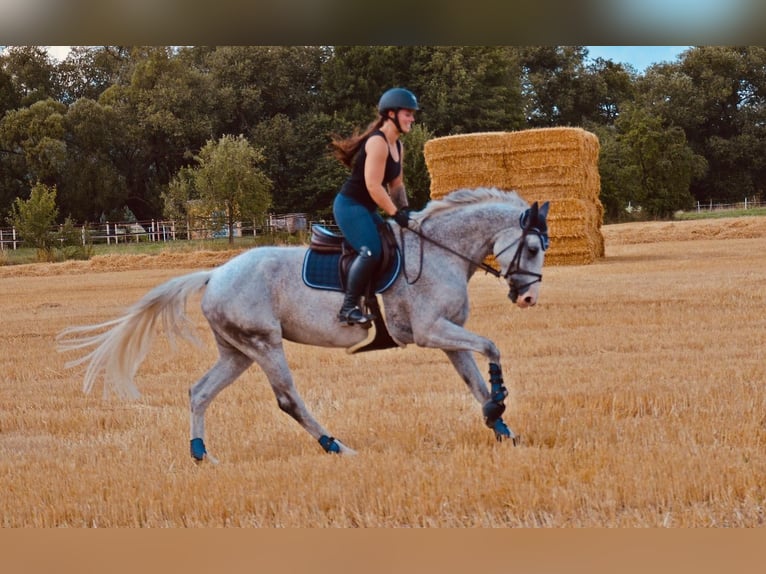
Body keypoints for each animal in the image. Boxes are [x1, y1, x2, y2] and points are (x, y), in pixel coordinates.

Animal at [58, 187, 552, 462]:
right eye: (531, 247)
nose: (528, 297)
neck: (440, 251)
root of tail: (214, 274)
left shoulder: (447, 337)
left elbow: (474, 377)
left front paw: (501, 425)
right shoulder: (430, 332)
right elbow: (492, 347)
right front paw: (499, 405)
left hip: (238, 351)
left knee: (199, 392)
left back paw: (202, 456)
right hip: (265, 344)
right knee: (287, 399)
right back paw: (336, 446)